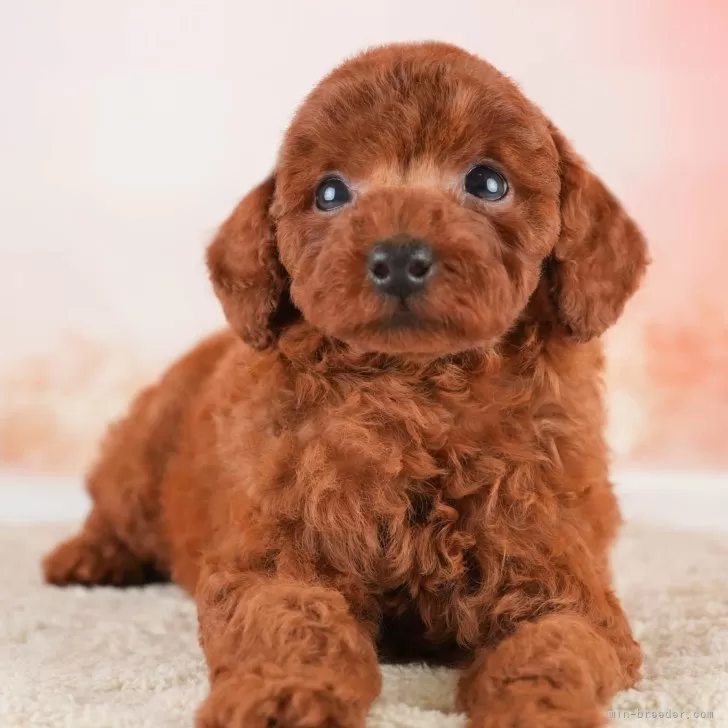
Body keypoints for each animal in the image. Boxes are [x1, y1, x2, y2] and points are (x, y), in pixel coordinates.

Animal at [44, 41, 648, 728]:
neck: (417, 385)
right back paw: (85, 558)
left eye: (488, 182)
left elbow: (554, 647)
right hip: (143, 454)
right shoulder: (276, 559)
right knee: (115, 507)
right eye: (331, 193)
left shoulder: (561, 579)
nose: (399, 258)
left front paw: (537, 711)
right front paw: (284, 697)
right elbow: (294, 624)